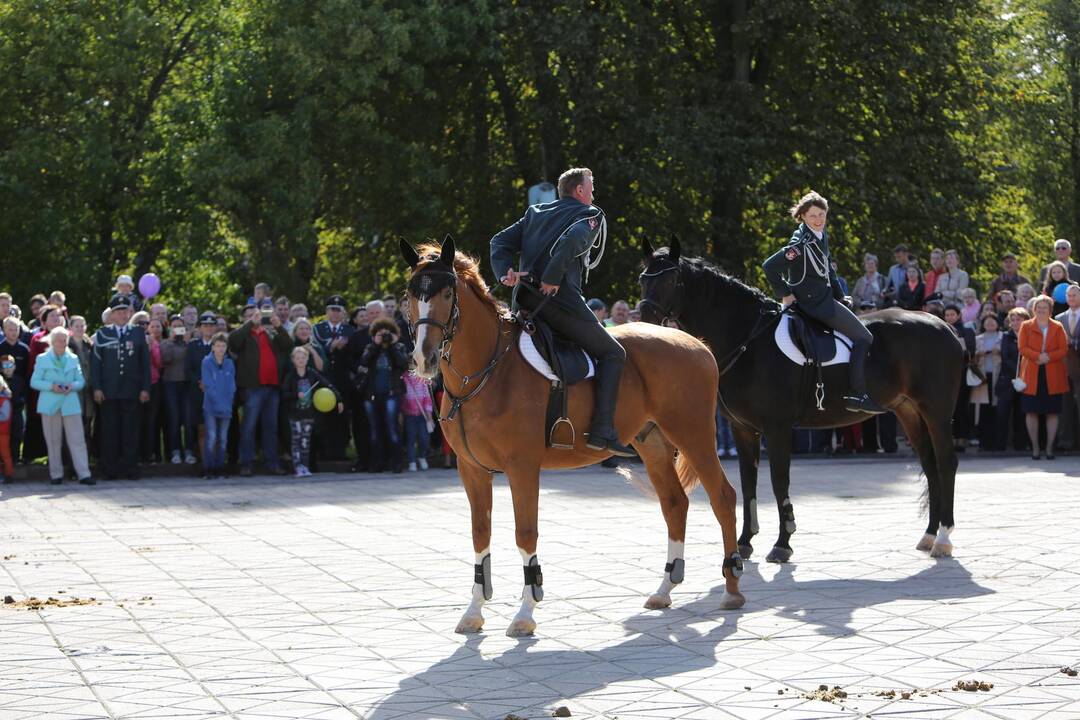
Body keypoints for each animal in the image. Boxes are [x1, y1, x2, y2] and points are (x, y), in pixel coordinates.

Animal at [401, 236, 747, 634]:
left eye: (446, 293)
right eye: (410, 293)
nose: (423, 358)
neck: (486, 372)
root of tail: (697, 343)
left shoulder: (522, 467)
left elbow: (525, 533)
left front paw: (525, 612)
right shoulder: (471, 470)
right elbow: (480, 534)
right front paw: (474, 611)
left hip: (695, 435)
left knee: (723, 498)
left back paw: (732, 587)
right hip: (654, 444)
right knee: (675, 504)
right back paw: (665, 588)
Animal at [639, 240, 963, 561]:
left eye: (670, 279)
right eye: (643, 279)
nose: (645, 321)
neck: (749, 340)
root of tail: (944, 327)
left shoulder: (777, 428)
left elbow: (778, 480)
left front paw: (783, 543)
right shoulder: (742, 429)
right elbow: (747, 482)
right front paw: (745, 541)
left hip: (936, 411)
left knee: (946, 462)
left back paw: (944, 538)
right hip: (908, 410)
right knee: (930, 464)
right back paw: (929, 535)